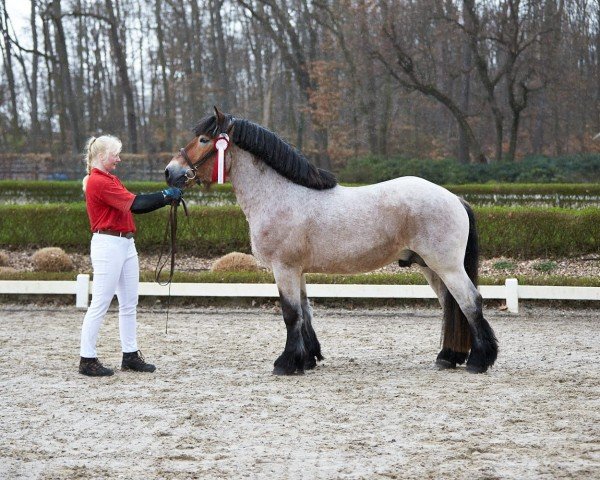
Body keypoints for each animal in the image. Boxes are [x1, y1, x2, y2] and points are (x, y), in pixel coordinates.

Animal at [164, 108, 496, 376]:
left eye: (204, 140)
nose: (170, 172)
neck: (279, 195)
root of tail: (454, 198)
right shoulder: (297, 271)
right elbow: (305, 312)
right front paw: (307, 358)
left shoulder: (284, 269)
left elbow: (291, 314)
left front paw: (286, 364)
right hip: (430, 267)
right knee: (451, 305)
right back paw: (449, 357)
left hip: (447, 266)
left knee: (470, 302)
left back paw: (480, 361)